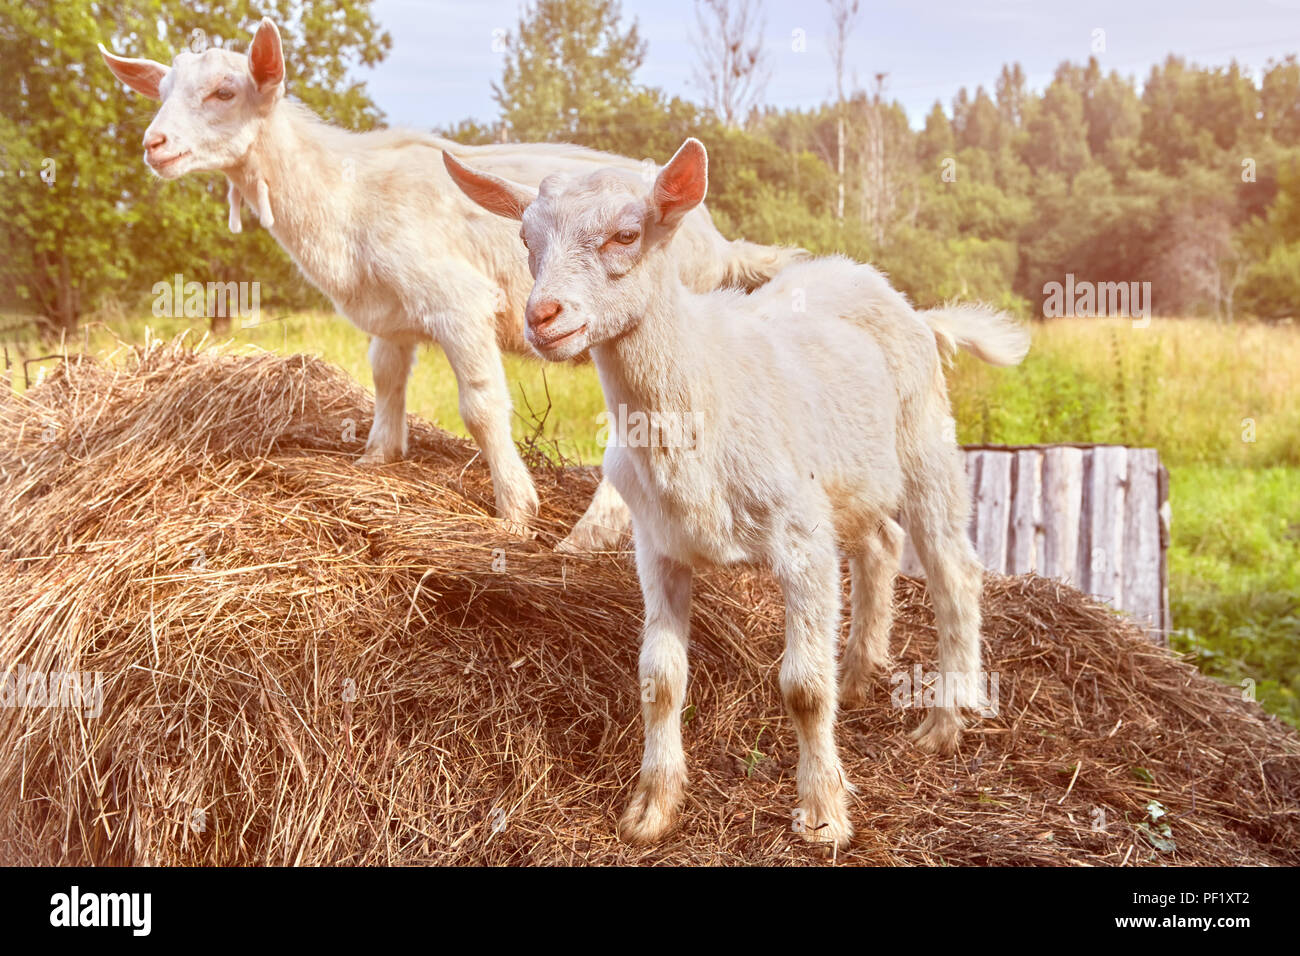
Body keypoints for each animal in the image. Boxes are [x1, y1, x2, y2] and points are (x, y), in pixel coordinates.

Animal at [98, 17, 803, 544]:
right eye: (160, 92)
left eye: (225, 91)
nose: (154, 144)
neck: (347, 192)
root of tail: (721, 245)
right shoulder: (390, 317)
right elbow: (386, 381)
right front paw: (376, 460)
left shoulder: (455, 301)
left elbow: (481, 406)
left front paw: (516, 509)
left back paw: (591, 533)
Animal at [443, 138, 1030, 847]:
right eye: (526, 238)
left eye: (627, 234)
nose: (542, 317)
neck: (703, 379)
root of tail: (903, 302)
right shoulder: (658, 546)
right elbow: (659, 679)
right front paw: (651, 808)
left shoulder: (802, 539)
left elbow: (803, 687)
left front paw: (823, 814)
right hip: (851, 480)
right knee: (882, 545)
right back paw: (858, 674)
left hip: (926, 442)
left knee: (953, 570)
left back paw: (944, 723)